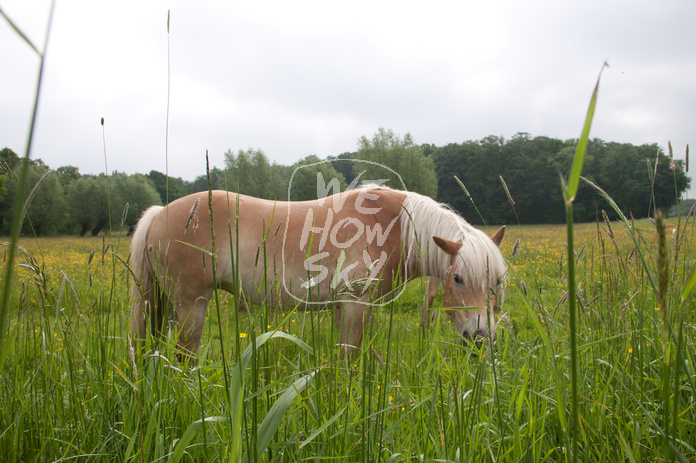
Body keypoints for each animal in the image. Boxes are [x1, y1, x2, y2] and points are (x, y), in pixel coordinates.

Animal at [129, 185, 506, 358]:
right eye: (458, 279)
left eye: (497, 282)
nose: (480, 338)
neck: (393, 226)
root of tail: (159, 213)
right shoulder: (356, 304)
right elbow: (349, 356)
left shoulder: (347, 307)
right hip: (191, 306)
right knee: (184, 357)